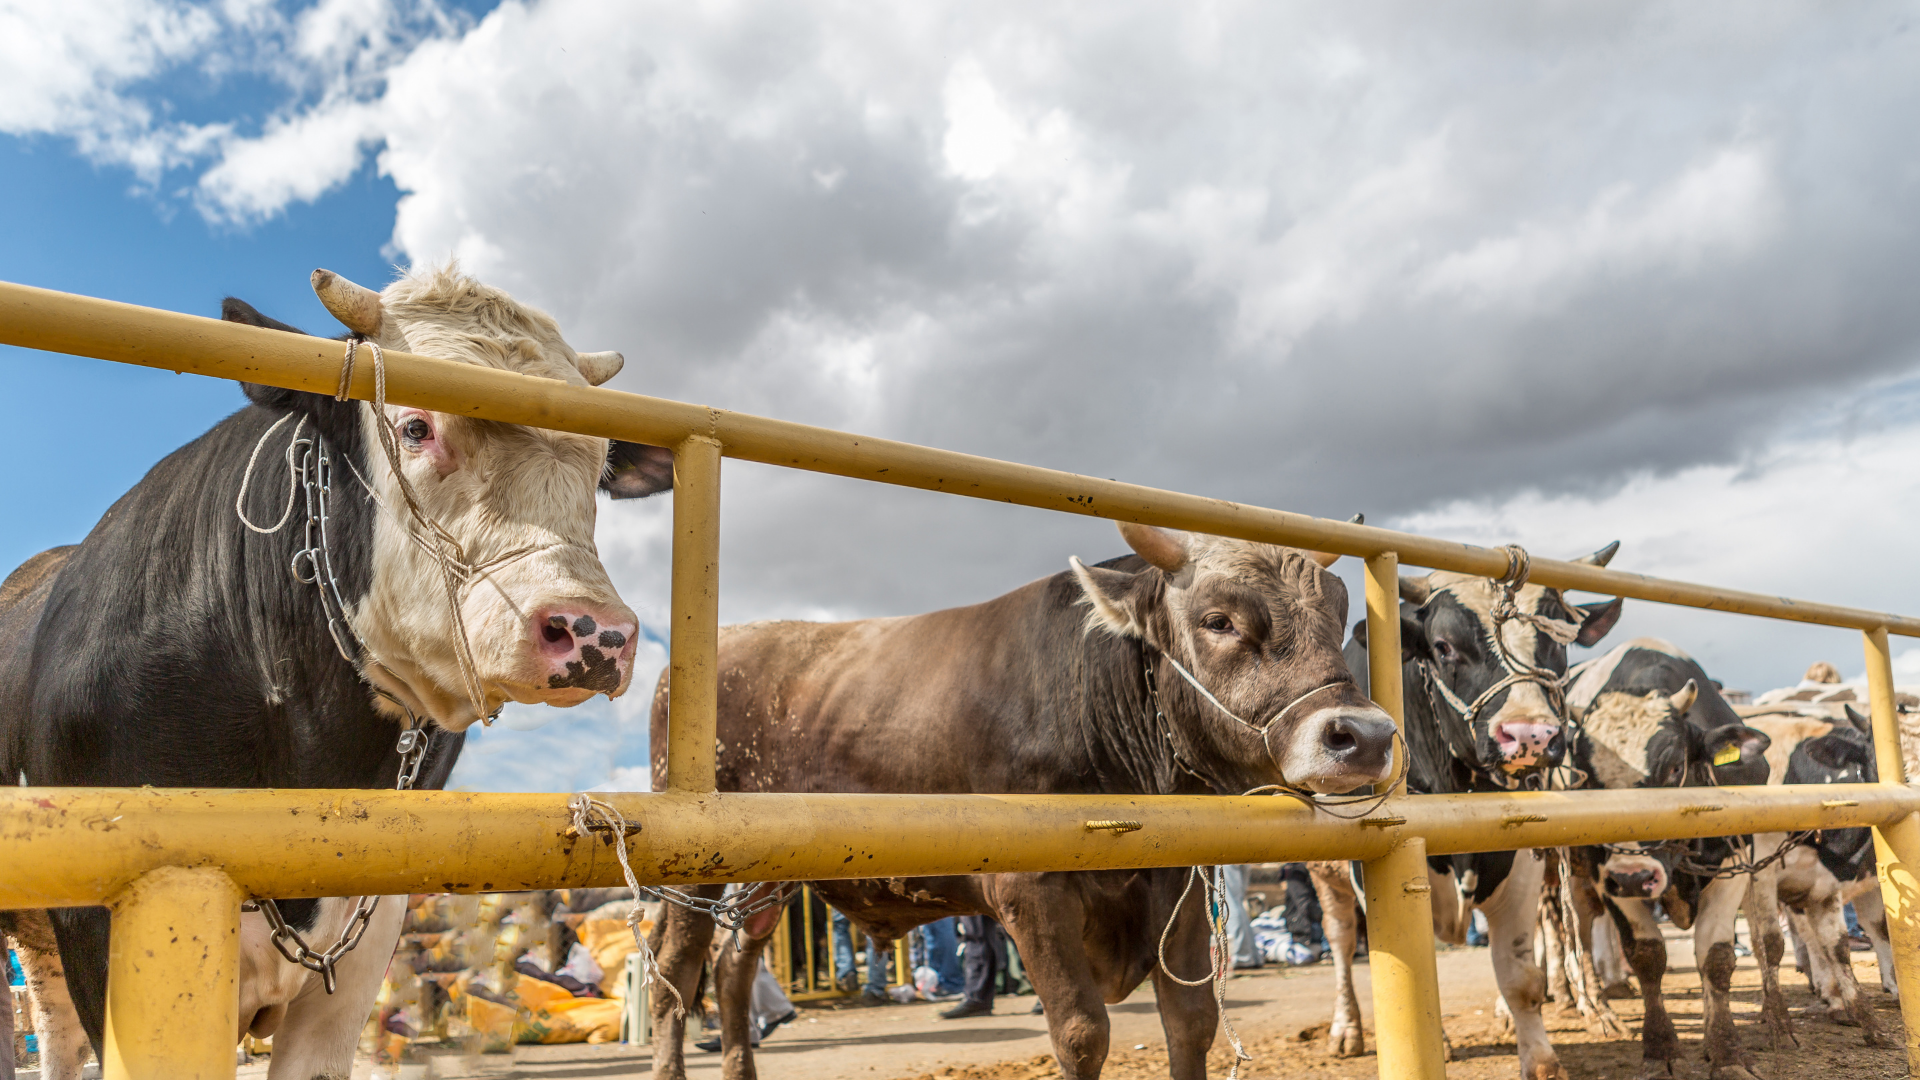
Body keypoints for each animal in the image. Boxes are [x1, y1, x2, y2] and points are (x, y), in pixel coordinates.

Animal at [645, 518, 1397, 1068]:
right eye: (1220, 620)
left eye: (1338, 616)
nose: (1364, 735)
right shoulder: (1030, 890)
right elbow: (1083, 1034)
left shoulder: (1178, 882)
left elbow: (1190, 1022)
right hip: (690, 869)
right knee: (674, 974)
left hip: (768, 877)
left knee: (732, 968)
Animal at [1305, 549, 1620, 1068]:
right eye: (1443, 646)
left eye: (1557, 640)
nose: (1531, 735)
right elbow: (1410, 969)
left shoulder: (1521, 861)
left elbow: (1521, 975)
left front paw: (1540, 1059)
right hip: (1323, 875)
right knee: (1342, 940)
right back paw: (1345, 1028)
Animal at [1559, 638, 1781, 1076]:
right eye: (1588, 780)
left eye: (1675, 766)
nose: (1633, 877)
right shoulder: (1606, 872)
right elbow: (1647, 955)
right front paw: (1660, 1050)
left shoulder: (1734, 860)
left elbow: (1716, 956)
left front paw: (1725, 1051)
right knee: (1576, 933)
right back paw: (1596, 1012)